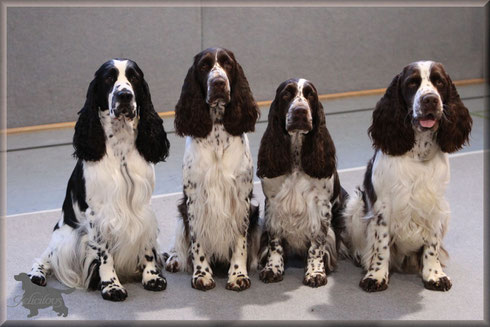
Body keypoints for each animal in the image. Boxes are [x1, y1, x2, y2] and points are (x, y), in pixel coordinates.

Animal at [28, 59, 171, 302]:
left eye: (134, 77)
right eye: (108, 78)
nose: (125, 95)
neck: (120, 148)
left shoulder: (143, 209)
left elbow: (147, 247)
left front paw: (152, 277)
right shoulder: (97, 216)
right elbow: (104, 255)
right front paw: (111, 286)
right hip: (65, 236)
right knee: (46, 257)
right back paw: (36, 275)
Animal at [256, 79, 344, 288]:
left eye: (310, 94)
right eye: (287, 94)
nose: (300, 111)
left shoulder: (321, 207)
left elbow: (317, 244)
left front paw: (315, 273)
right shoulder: (273, 204)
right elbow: (275, 243)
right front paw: (273, 269)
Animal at [340, 60, 470, 292]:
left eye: (439, 82)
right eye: (412, 83)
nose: (430, 99)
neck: (417, 153)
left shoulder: (435, 206)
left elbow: (432, 246)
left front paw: (434, 275)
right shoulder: (383, 208)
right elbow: (381, 246)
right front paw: (376, 276)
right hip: (354, 206)